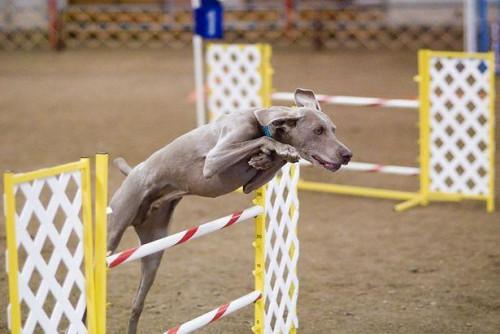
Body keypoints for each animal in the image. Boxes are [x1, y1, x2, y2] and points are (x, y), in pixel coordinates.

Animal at [108, 87, 352, 332]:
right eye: (318, 130)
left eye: (333, 129)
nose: (347, 155)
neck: (261, 123)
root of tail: (132, 172)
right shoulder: (213, 160)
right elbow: (263, 140)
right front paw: (277, 148)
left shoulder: (250, 185)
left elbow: (270, 159)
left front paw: (269, 156)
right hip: (115, 231)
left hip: (153, 252)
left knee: (136, 306)